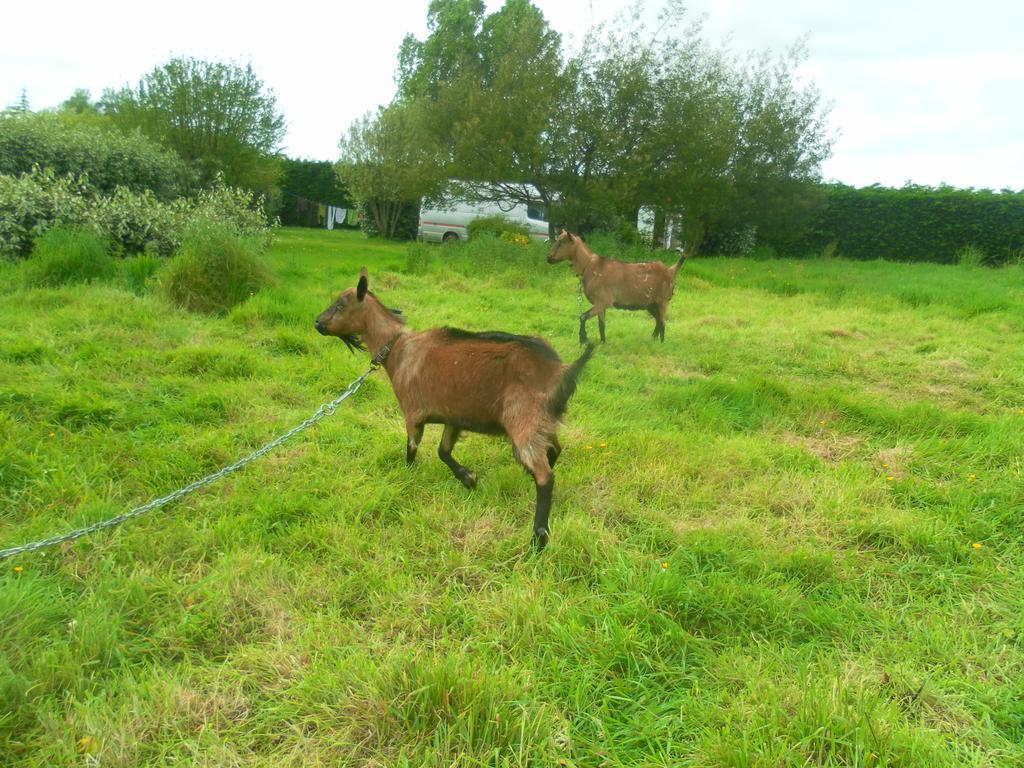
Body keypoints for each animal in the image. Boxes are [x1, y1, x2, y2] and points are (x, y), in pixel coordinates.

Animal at [315, 268, 598, 548]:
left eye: (340, 304)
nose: (317, 323)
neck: (398, 349)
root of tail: (561, 371)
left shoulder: (412, 413)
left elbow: (411, 448)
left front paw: (409, 476)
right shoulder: (453, 416)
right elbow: (443, 451)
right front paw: (468, 478)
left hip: (523, 422)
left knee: (545, 475)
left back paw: (539, 537)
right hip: (544, 422)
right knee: (554, 450)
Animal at [544, 228, 688, 342]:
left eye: (561, 242)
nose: (548, 258)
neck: (589, 266)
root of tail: (670, 270)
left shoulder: (603, 301)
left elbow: (582, 316)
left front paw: (583, 339)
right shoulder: (600, 304)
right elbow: (601, 325)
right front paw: (602, 343)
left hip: (662, 301)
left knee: (663, 322)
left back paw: (660, 343)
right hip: (650, 304)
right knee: (658, 320)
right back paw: (652, 339)